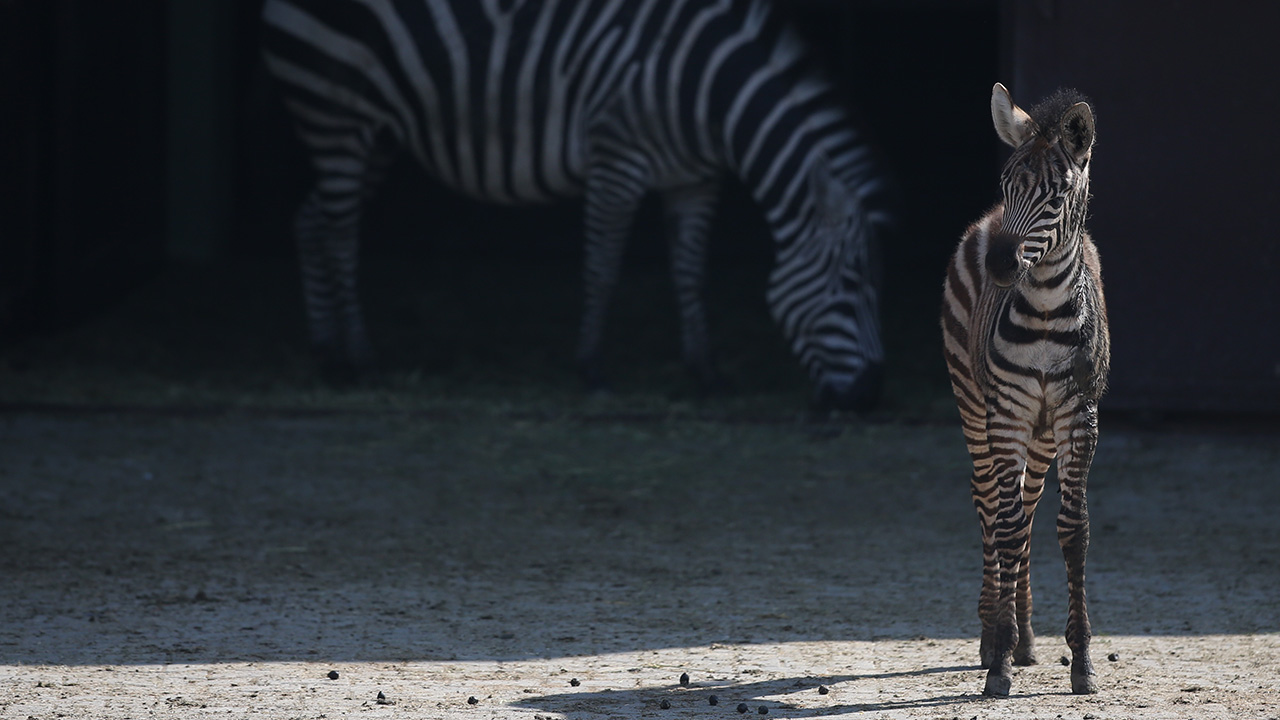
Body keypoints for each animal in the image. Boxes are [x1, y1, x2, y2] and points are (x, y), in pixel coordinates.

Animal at [261, 0, 891, 410]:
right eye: (850, 280)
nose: (870, 395)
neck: (706, 89)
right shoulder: (617, 161)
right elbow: (602, 270)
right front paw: (591, 371)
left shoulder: (694, 179)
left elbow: (690, 274)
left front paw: (706, 373)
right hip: (336, 114)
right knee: (340, 236)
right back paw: (362, 360)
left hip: (378, 136)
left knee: (310, 221)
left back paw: (327, 356)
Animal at [940, 83, 1109, 697]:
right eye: (1006, 183)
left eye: (1056, 195)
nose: (999, 264)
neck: (1043, 313)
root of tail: (987, 224)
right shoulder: (1007, 414)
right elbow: (1007, 528)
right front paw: (999, 663)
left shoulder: (1078, 415)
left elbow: (1073, 530)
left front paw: (1081, 659)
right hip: (974, 403)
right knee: (992, 503)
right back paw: (994, 633)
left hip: (1041, 432)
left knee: (1029, 506)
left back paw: (1028, 637)